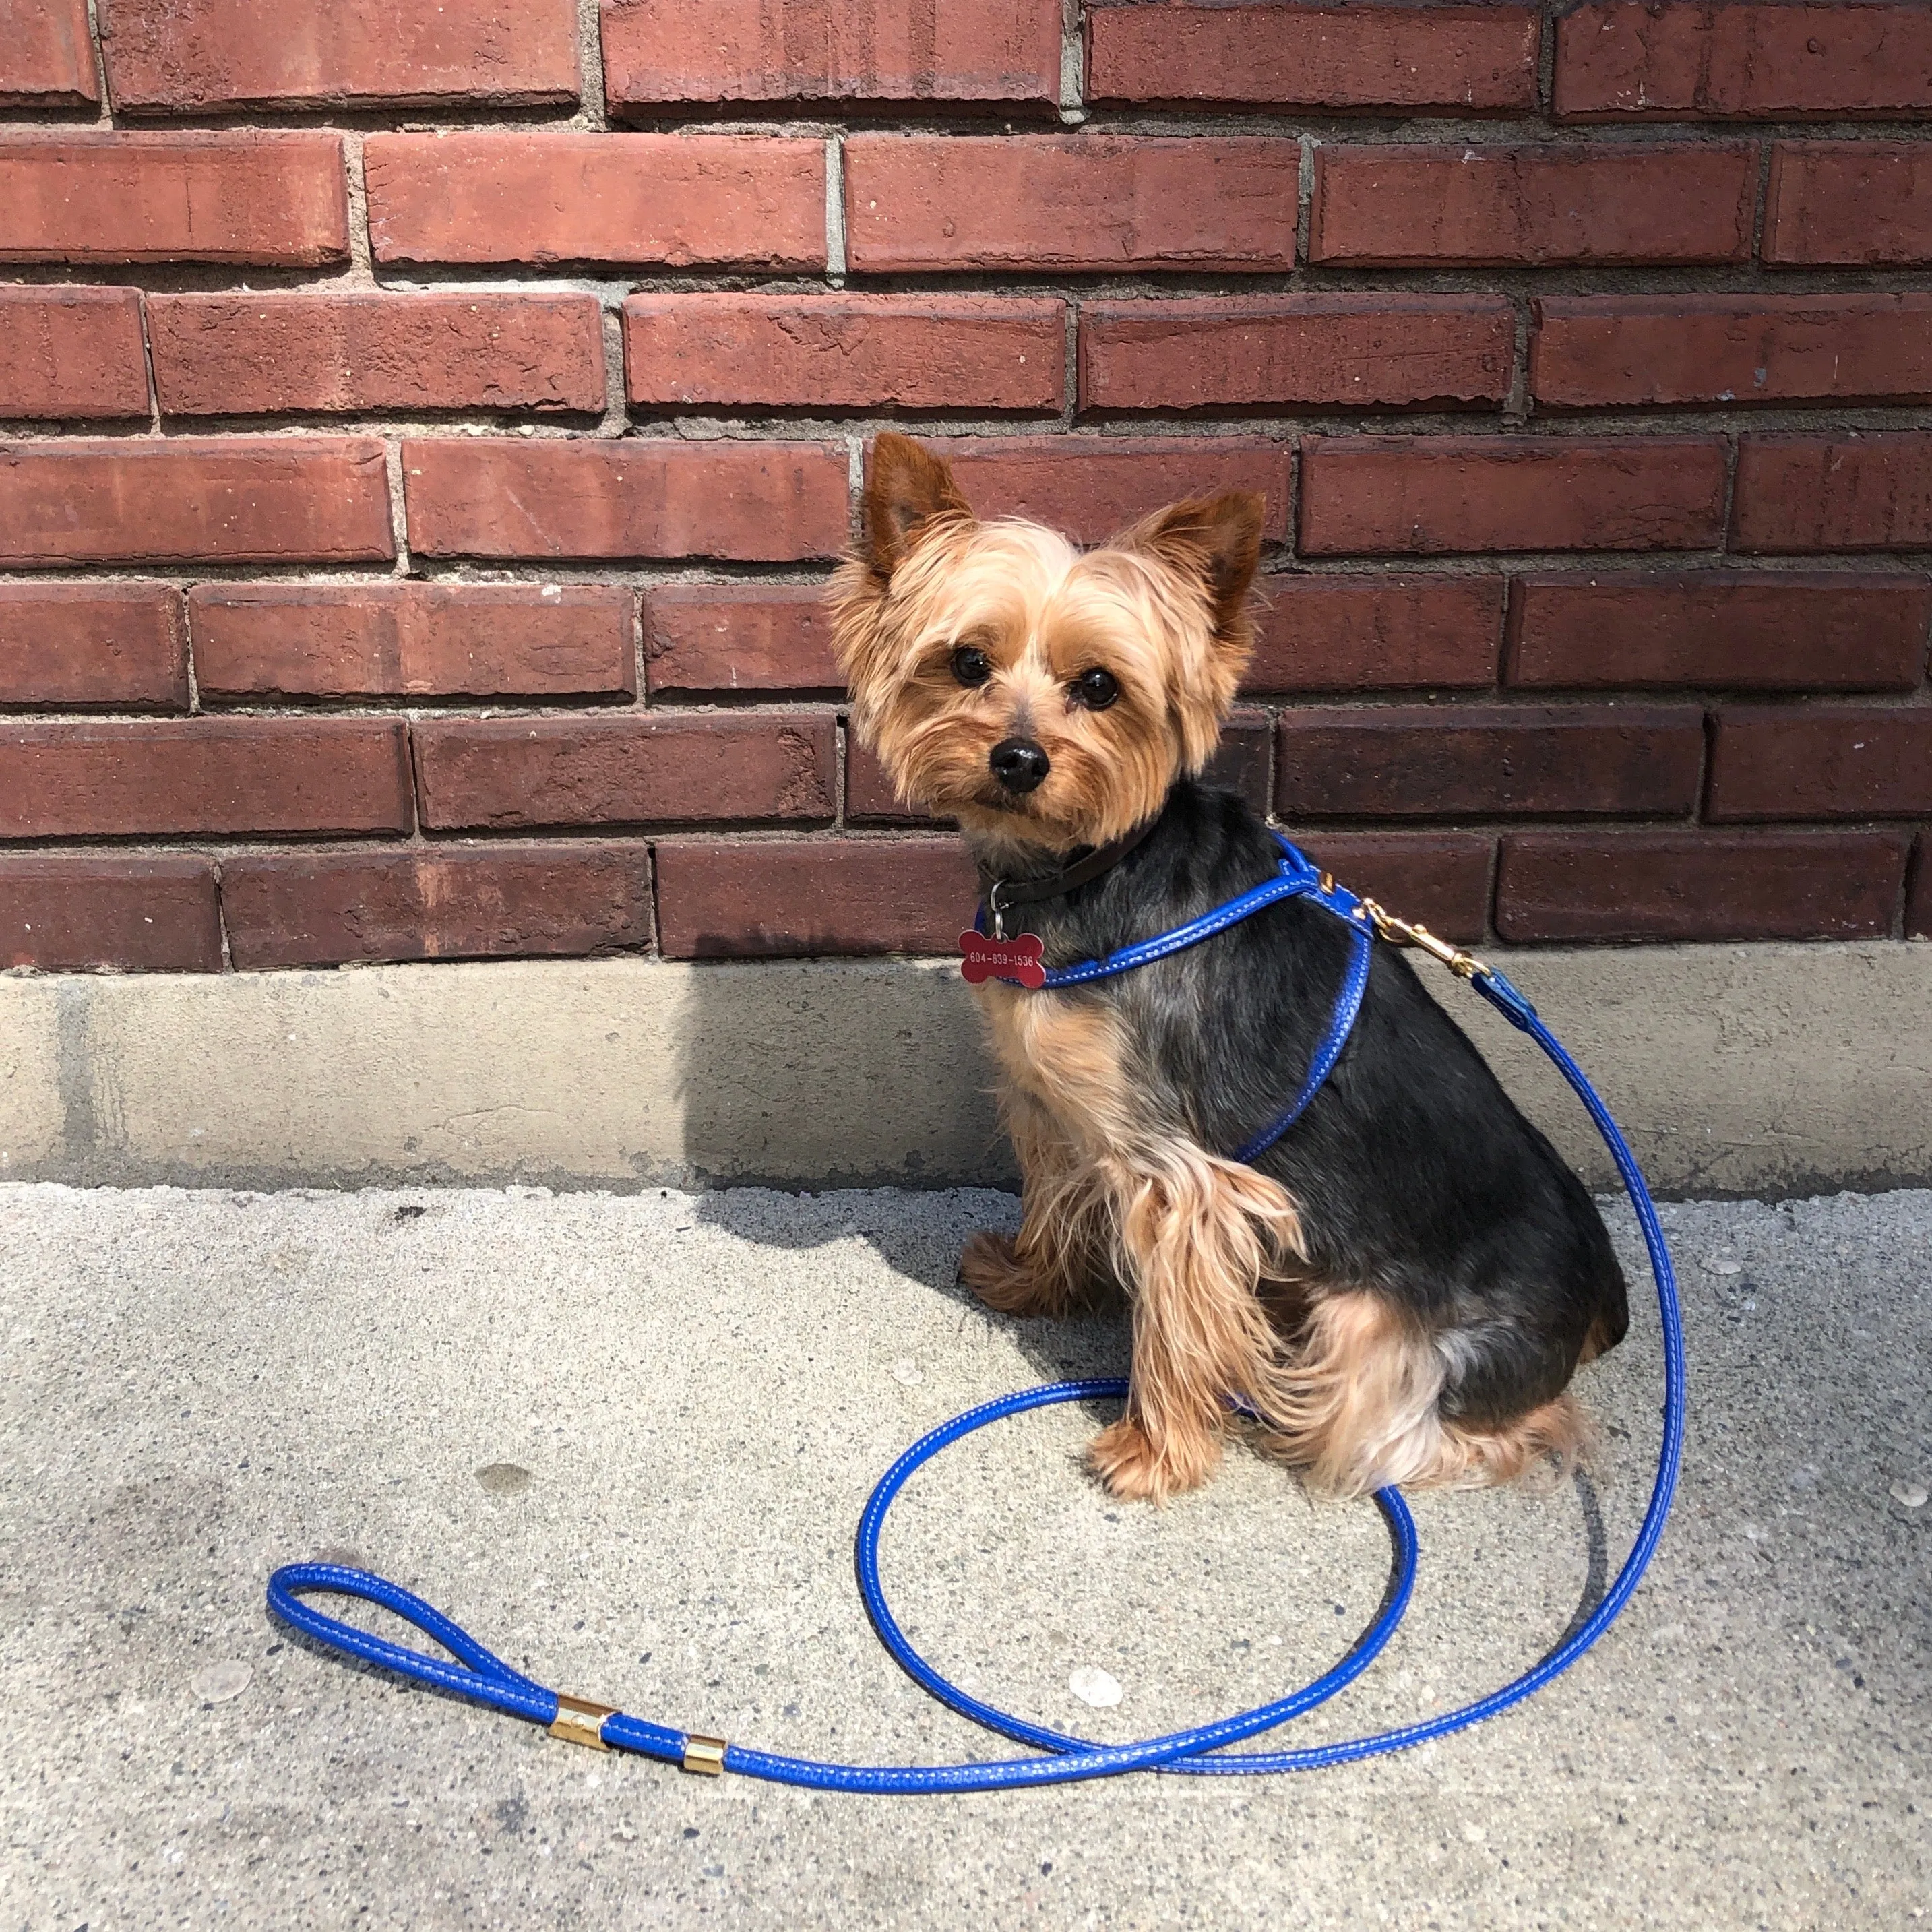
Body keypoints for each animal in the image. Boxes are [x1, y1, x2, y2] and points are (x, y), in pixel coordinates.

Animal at [834, 438, 1630, 1507]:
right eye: (966, 662)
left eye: (1099, 685)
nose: (1018, 758)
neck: (1090, 862)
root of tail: (1602, 1298)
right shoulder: (1054, 1102)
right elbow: (1054, 1198)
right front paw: (1032, 1281)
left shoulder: (1184, 1177)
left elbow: (1174, 1318)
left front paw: (1154, 1449)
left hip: (1376, 1339)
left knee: (1466, 1429)